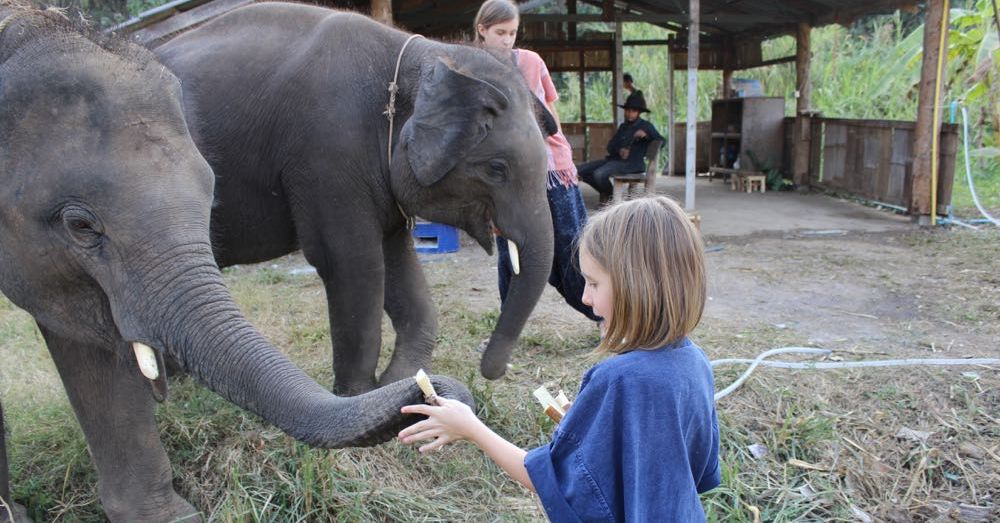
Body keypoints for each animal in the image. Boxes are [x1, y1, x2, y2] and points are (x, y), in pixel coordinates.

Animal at [156, 0, 560, 392]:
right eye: (497, 168)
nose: (494, 370)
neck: (426, 54)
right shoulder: (327, 154)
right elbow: (352, 261)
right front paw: (359, 394)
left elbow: (396, 260)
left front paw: (398, 381)